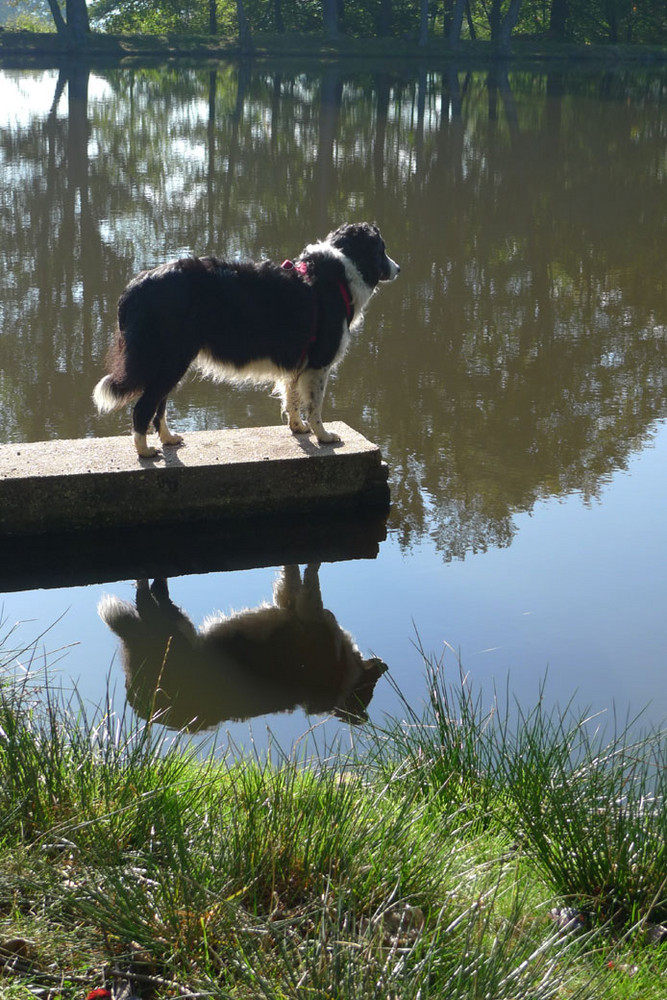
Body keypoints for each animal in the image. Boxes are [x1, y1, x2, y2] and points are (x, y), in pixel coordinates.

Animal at [91, 222, 400, 458]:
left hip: (170, 363)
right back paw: (144, 451)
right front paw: (323, 435)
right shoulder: (319, 364)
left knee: (159, 404)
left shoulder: (298, 361)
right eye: (382, 249)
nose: (398, 269)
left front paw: (298, 427)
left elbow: (292, 396)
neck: (342, 269)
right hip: (172, 360)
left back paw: (168, 439)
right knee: (144, 407)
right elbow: (315, 405)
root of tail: (136, 285)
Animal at [100, 572, 392, 728]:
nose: (382, 663)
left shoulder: (297, 604)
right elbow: (308, 575)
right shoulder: (307, 608)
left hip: (169, 629)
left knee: (150, 593)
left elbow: (297, 576)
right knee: (150, 593)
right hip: (172, 630)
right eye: (370, 690)